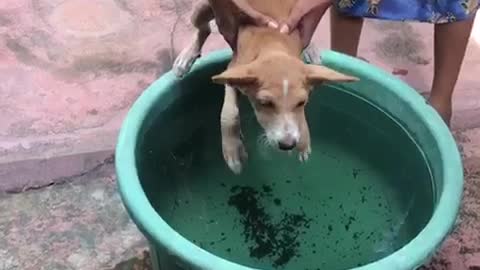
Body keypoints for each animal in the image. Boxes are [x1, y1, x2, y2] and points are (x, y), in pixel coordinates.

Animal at [172, 0, 356, 173]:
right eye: (265, 104)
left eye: (301, 103)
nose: (288, 145)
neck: (273, 44)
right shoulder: (232, 70)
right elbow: (230, 113)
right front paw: (233, 150)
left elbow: (299, 115)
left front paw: (303, 139)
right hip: (202, 9)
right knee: (203, 29)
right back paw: (186, 57)